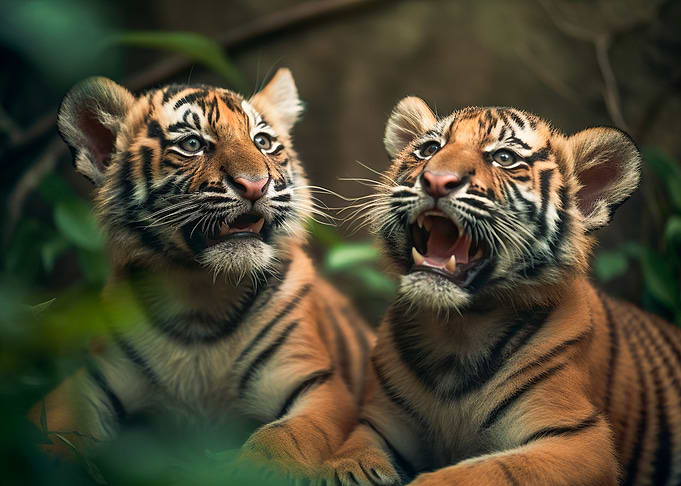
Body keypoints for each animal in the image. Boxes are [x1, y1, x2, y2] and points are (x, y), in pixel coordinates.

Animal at [28, 68, 374, 478]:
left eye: (263, 142)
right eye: (193, 144)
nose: (255, 184)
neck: (203, 294)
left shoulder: (318, 386)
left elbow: (283, 438)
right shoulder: (90, 382)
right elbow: (47, 427)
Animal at [311, 97, 681, 486]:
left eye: (504, 158)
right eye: (429, 150)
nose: (436, 181)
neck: (457, 332)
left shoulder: (579, 440)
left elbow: (483, 471)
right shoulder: (379, 425)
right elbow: (350, 455)